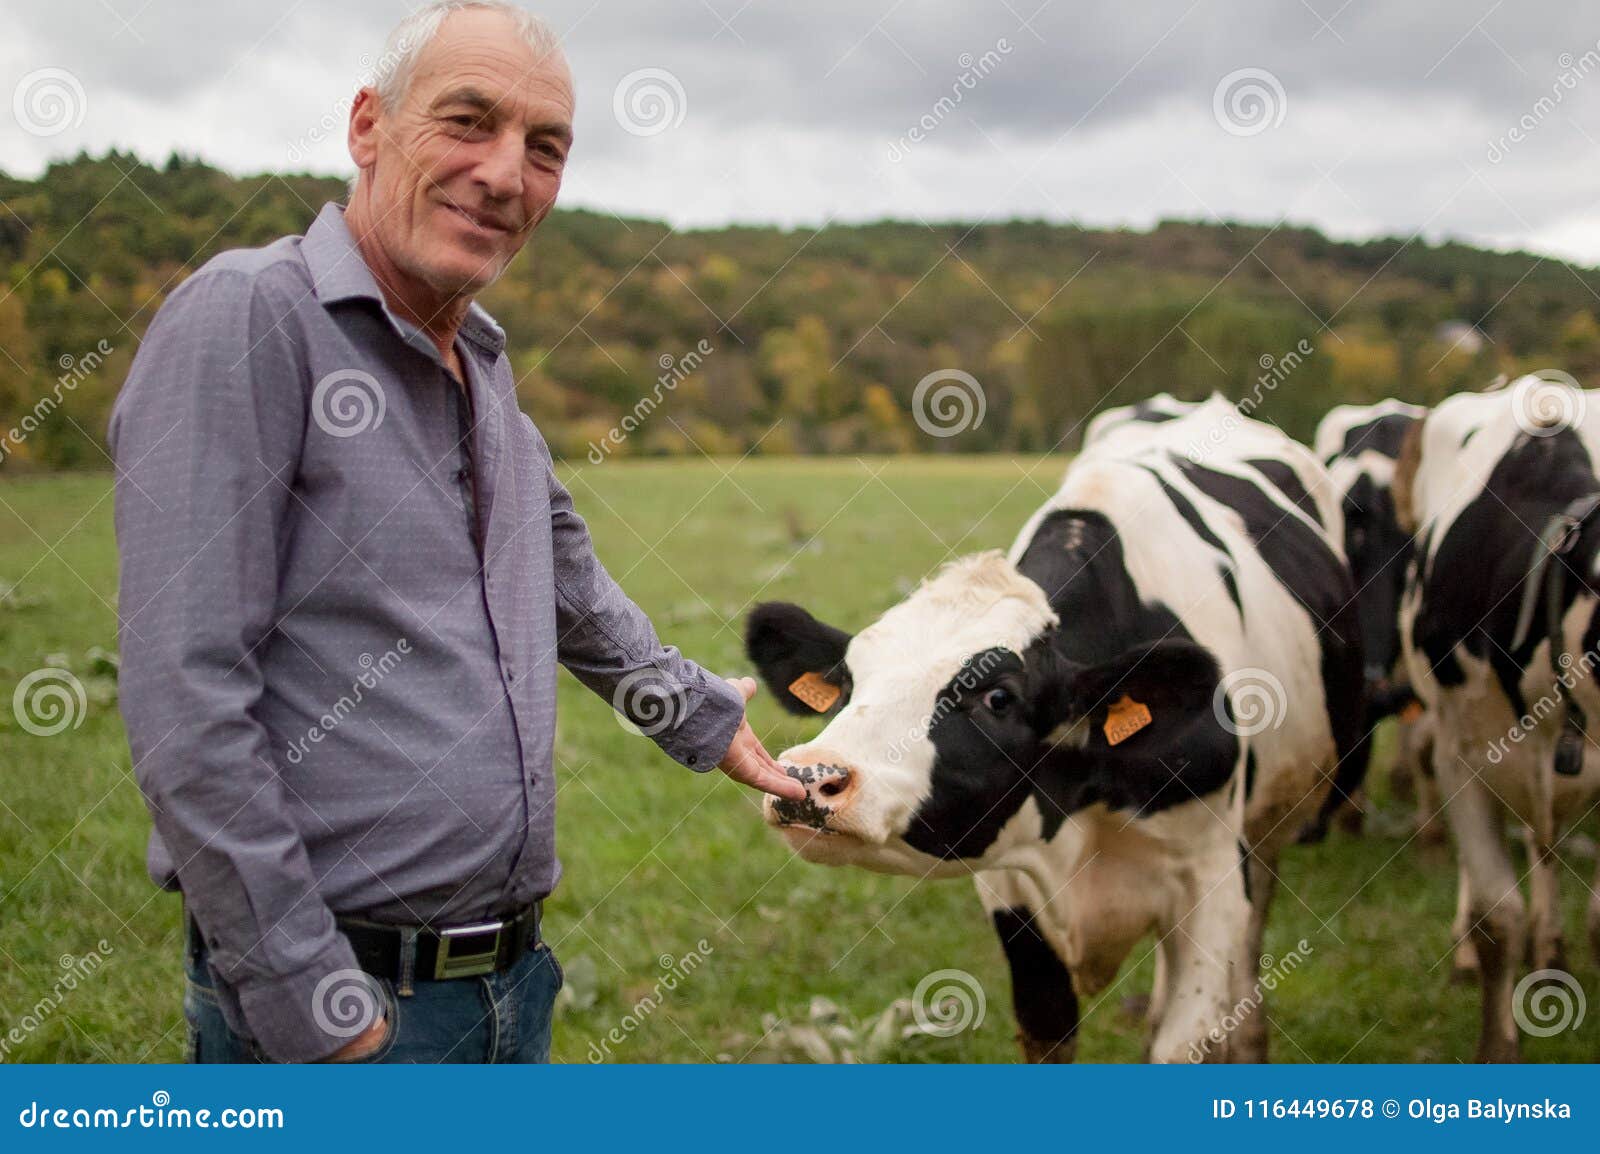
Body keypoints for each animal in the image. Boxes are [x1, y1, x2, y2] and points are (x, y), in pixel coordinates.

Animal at [745, 396, 1363, 1062]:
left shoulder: (1212, 879)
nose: (810, 775)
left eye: (998, 698)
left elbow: (1185, 1036)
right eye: (851, 681)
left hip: (1268, 828)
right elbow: (1048, 1028)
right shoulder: (1012, 890)